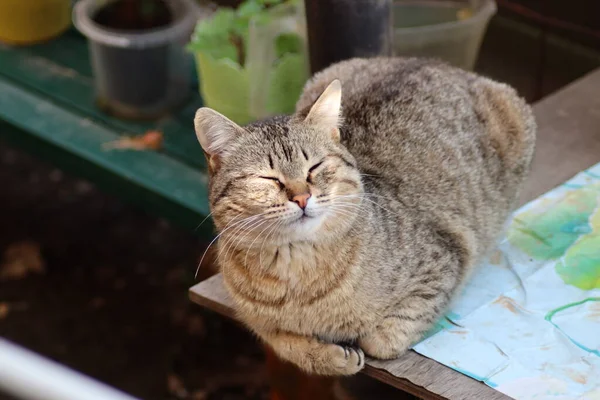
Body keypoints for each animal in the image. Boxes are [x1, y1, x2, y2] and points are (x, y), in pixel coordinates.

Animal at [195, 57, 536, 376]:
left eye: (314, 167)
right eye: (268, 179)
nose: (302, 197)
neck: (298, 274)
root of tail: (436, 62)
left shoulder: (445, 260)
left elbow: (382, 340)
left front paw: (358, 341)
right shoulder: (260, 323)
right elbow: (286, 342)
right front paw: (333, 356)